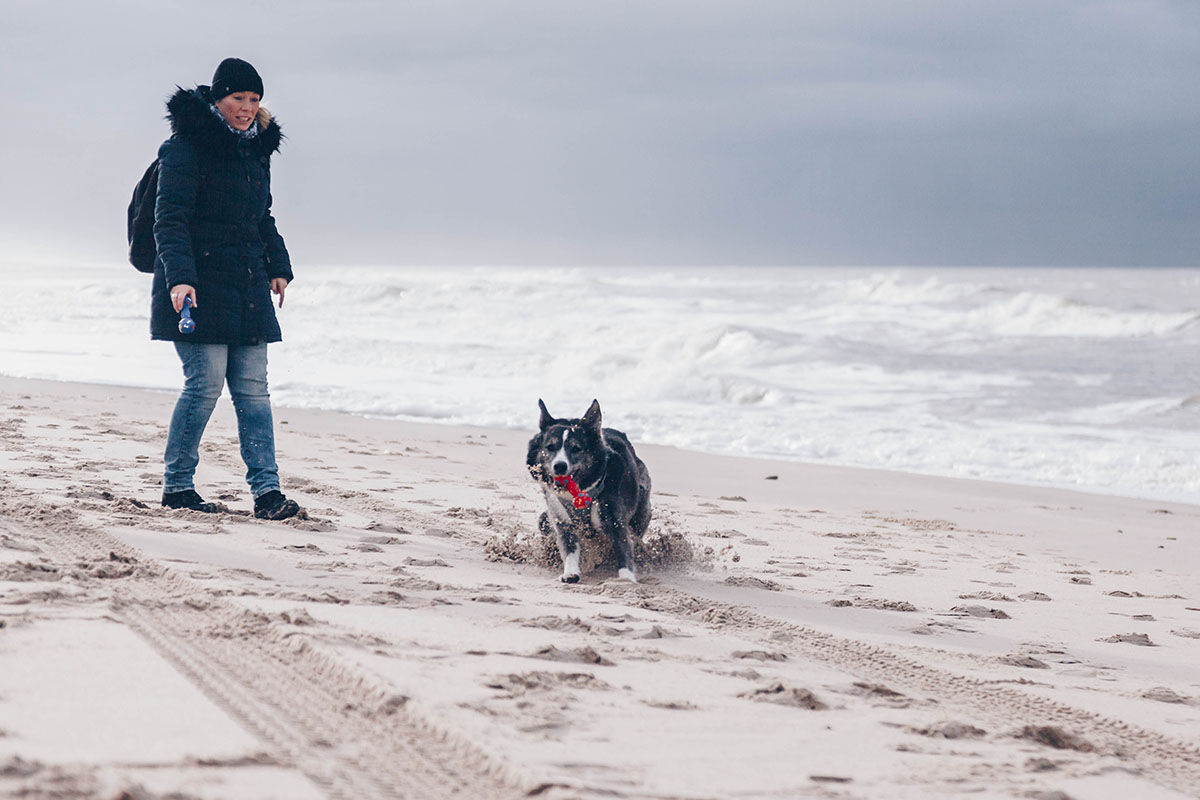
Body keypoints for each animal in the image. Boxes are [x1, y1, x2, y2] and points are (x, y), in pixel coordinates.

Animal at [528, 398, 652, 582]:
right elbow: (569, 548)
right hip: (545, 519)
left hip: (641, 510)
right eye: (550, 447)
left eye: (576, 448)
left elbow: (623, 548)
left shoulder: (615, 520)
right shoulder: (561, 520)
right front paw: (570, 572)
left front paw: (625, 579)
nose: (559, 466)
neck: (578, 493)